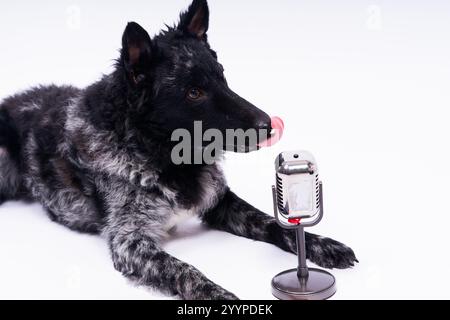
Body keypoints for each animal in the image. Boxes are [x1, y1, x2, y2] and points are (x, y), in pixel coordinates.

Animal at [0, 0, 358, 300]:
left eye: (222, 77)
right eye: (194, 92)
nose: (268, 125)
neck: (158, 154)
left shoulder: (221, 202)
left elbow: (272, 222)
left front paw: (323, 245)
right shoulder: (131, 241)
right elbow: (183, 270)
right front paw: (217, 295)